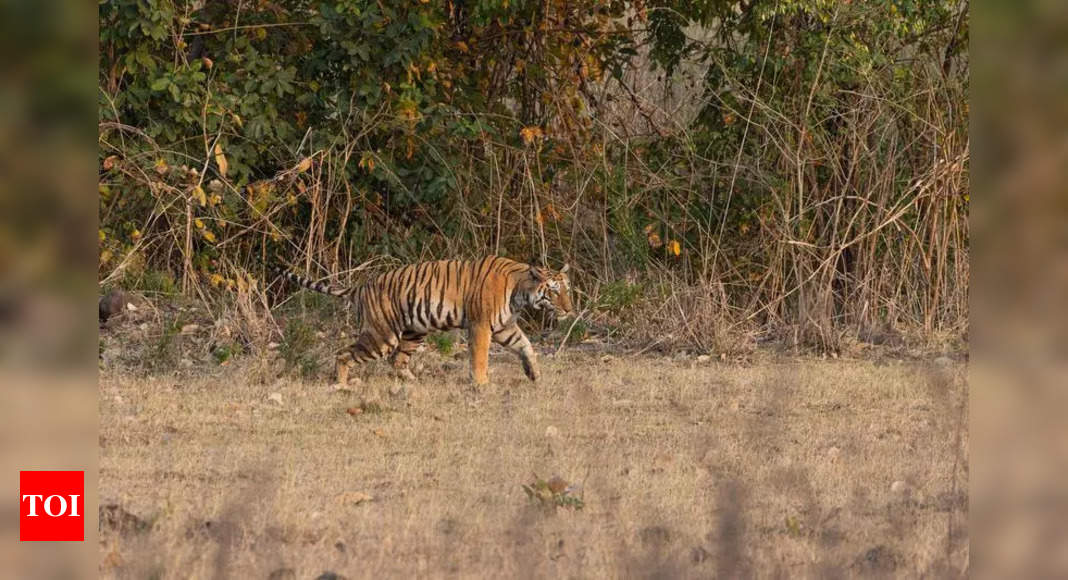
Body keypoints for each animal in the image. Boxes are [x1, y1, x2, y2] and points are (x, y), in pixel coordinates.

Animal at [275, 256, 573, 386]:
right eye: (554, 291)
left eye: (567, 289)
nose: (570, 310)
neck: (520, 291)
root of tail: (362, 286)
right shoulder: (481, 326)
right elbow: (480, 358)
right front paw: (481, 385)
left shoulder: (504, 327)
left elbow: (526, 346)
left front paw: (535, 375)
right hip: (381, 336)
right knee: (343, 354)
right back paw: (343, 384)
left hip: (413, 331)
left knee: (397, 361)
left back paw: (414, 381)